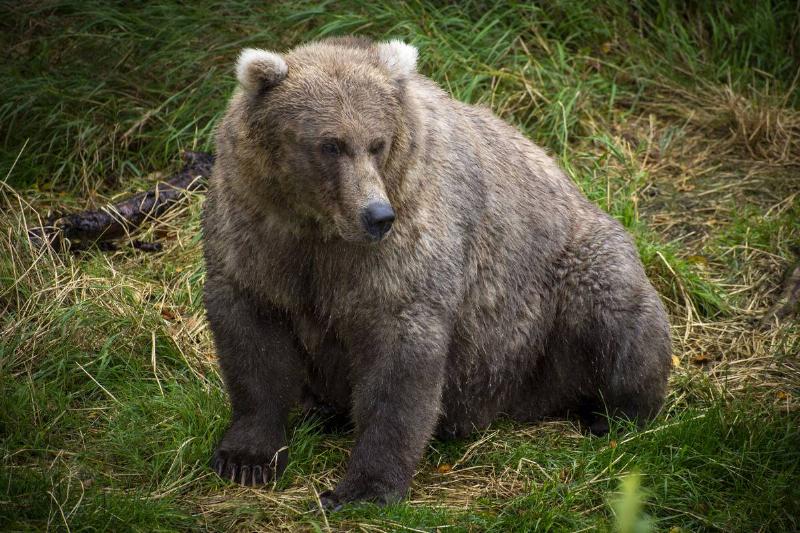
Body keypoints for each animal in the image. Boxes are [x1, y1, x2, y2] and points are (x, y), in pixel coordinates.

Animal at [201, 36, 671, 509]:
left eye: (377, 143)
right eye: (330, 144)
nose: (376, 215)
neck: (319, 228)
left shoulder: (404, 244)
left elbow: (400, 362)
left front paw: (362, 488)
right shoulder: (258, 237)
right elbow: (254, 344)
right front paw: (246, 458)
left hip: (566, 282)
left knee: (615, 316)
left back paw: (613, 415)